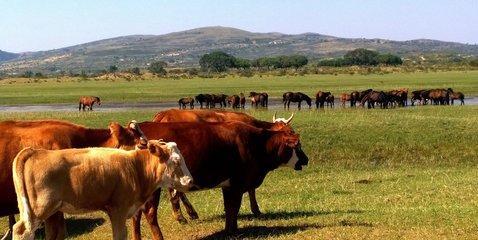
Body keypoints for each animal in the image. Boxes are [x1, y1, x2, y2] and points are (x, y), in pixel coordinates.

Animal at [11, 140, 190, 239]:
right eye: (176, 160)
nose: (190, 181)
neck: (135, 167)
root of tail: (34, 152)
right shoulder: (118, 210)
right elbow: (119, 235)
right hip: (39, 209)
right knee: (22, 231)